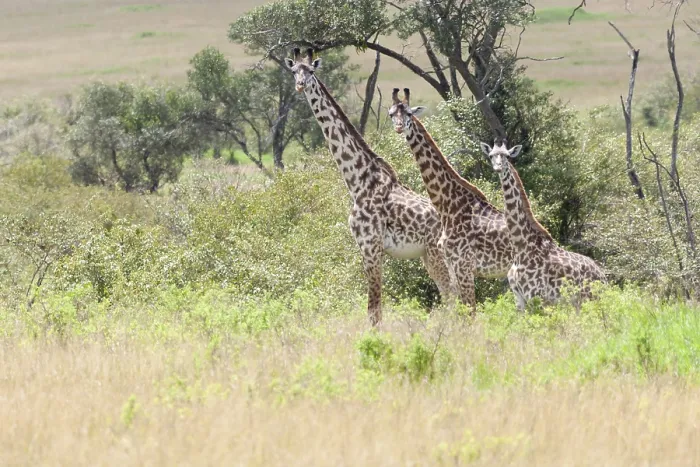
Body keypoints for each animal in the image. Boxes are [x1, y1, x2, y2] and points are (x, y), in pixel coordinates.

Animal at [284, 48, 455, 326]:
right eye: (293, 70)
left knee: (452, 294)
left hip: (437, 254)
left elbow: (374, 310)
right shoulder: (365, 247)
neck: (358, 180)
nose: (300, 85)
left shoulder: (371, 245)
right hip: (430, 255)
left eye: (310, 71)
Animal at [388, 88, 513, 312]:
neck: (448, 204)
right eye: (391, 114)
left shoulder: (464, 266)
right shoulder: (453, 265)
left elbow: (470, 310)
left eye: (409, 113)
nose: (400, 127)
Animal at [480, 140, 606, 310]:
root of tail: (603, 277)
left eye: (507, 156)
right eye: (491, 155)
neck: (520, 248)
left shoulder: (536, 296)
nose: (498, 167)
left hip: (591, 298)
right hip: (578, 303)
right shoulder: (519, 299)